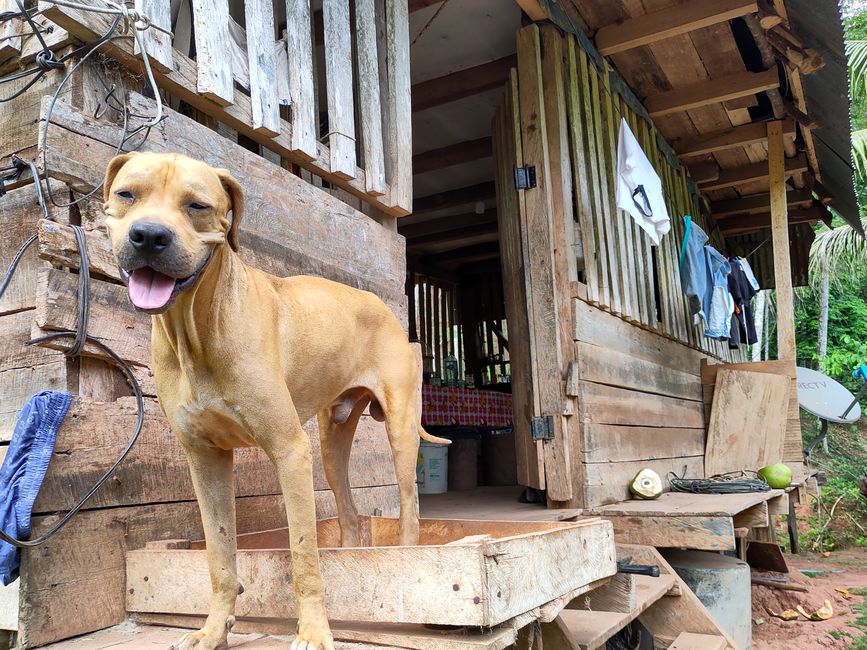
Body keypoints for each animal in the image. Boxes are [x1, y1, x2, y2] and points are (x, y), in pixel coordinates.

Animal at [101, 152, 448, 648]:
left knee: (410, 510)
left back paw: (405, 559)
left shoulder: (289, 450)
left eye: (197, 206)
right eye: (127, 194)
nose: (149, 236)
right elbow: (220, 555)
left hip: (399, 434)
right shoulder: (204, 459)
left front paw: (316, 632)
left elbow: (303, 554)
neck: (198, 331)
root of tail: (384, 306)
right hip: (331, 445)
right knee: (350, 516)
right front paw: (213, 629)